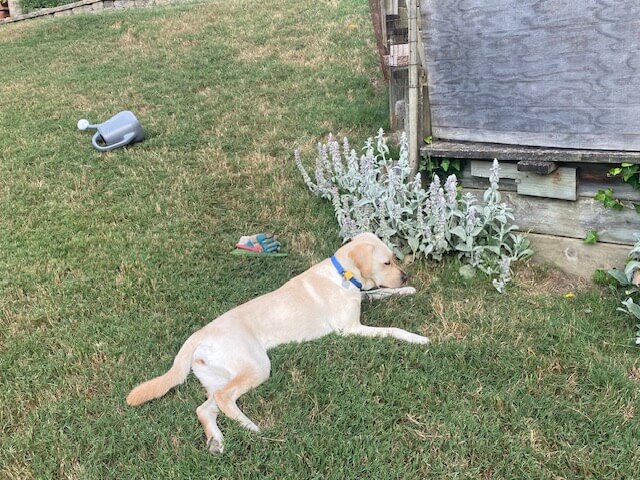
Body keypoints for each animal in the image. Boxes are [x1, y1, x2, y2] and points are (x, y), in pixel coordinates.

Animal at [127, 232, 428, 454]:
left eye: (394, 259)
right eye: (387, 263)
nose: (406, 276)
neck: (343, 274)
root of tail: (199, 334)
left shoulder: (362, 299)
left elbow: (379, 293)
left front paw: (407, 290)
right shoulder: (351, 329)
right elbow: (391, 329)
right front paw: (417, 337)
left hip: (219, 376)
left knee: (205, 407)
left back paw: (218, 440)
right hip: (257, 366)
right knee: (224, 399)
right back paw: (252, 427)